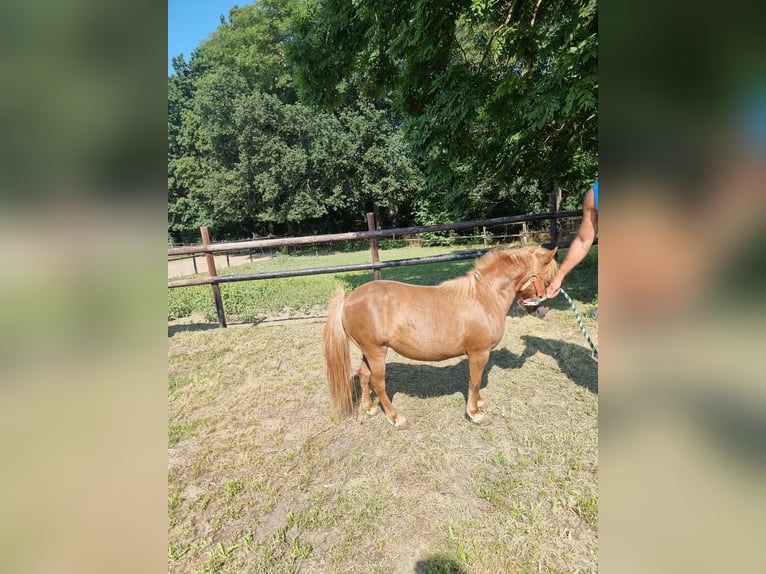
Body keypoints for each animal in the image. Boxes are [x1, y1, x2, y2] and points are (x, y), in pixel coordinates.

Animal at [323, 244, 558, 428]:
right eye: (547, 279)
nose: (543, 311)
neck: (483, 297)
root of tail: (349, 297)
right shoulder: (479, 353)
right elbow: (475, 381)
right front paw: (475, 413)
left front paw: (479, 402)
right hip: (376, 352)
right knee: (378, 382)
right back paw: (396, 418)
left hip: (369, 351)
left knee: (363, 375)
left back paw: (369, 407)